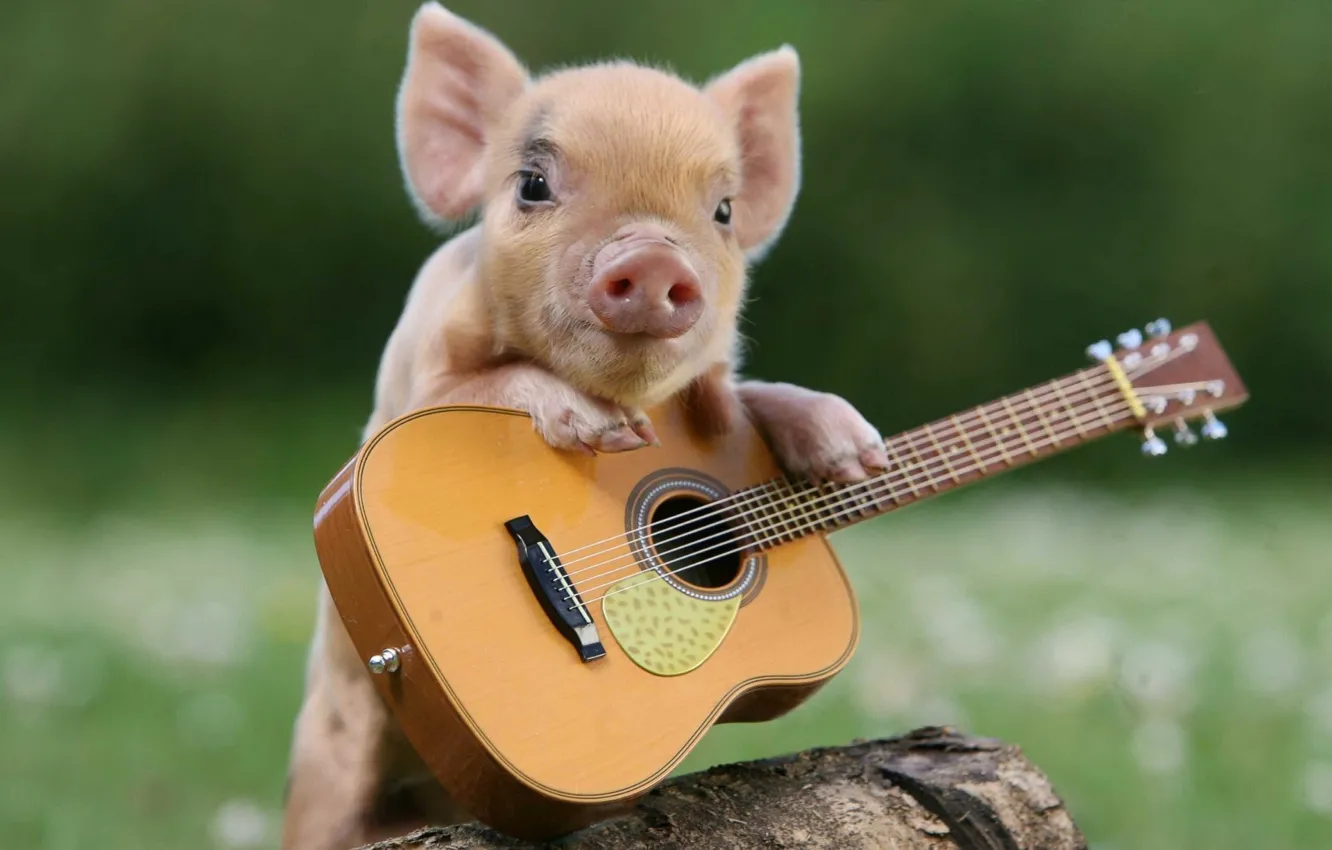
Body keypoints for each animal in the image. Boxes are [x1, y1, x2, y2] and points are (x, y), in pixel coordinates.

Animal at [280, 4, 889, 848]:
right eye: (533, 184)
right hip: (326, 773)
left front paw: (856, 451)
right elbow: (491, 383)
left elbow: (746, 396)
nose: (657, 258)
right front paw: (600, 428)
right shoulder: (409, 388)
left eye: (724, 211)